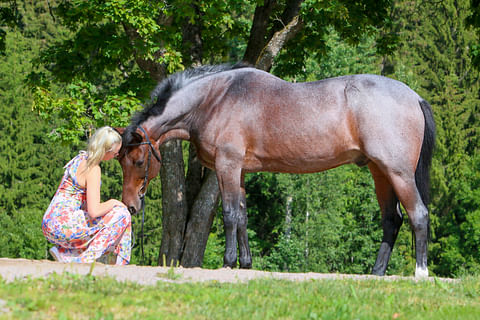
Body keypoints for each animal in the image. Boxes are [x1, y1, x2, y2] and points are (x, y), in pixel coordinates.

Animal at [115, 63, 436, 278]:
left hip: (398, 173)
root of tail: (414, 97)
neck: (215, 100)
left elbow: (229, 214)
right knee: (391, 220)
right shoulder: (240, 171)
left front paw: (228, 261)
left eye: (138, 161)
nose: (130, 205)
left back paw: (420, 272)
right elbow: (242, 216)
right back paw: (377, 272)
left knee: (417, 214)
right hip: (379, 172)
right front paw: (245, 263)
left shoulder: (227, 165)